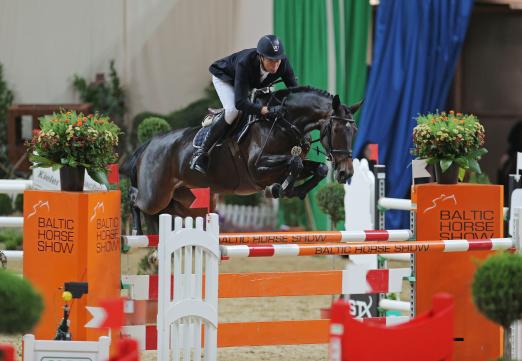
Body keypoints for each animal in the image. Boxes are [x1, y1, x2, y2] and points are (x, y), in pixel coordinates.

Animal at [121, 86, 358, 233]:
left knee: (158, 214)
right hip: (155, 194)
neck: (283, 123)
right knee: (134, 198)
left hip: (184, 201)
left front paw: (294, 190)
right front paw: (280, 189)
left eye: (354, 131)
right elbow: (295, 163)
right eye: (337, 129)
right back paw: (136, 230)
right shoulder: (257, 169)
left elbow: (317, 169)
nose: (345, 173)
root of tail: (149, 144)